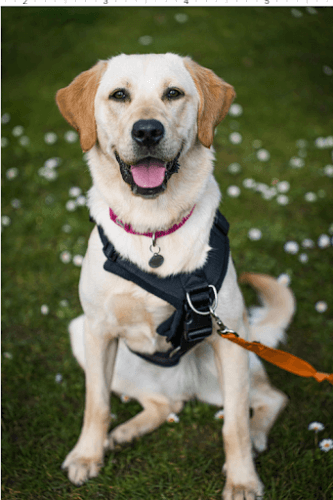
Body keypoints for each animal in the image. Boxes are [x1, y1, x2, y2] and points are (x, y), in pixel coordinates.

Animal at [55, 52, 294, 498]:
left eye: (173, 93)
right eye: (119, 95)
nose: (148, 131)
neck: (153, 230)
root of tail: (182, 386)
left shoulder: (229, 340)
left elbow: (234, 426)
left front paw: (242, 479)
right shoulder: (97, 331)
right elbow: (97, 404)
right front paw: (87, 455)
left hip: (234, 364)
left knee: (268, 399)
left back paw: (256, 436)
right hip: (83, 335)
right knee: (164, 404)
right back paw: (125, 432)